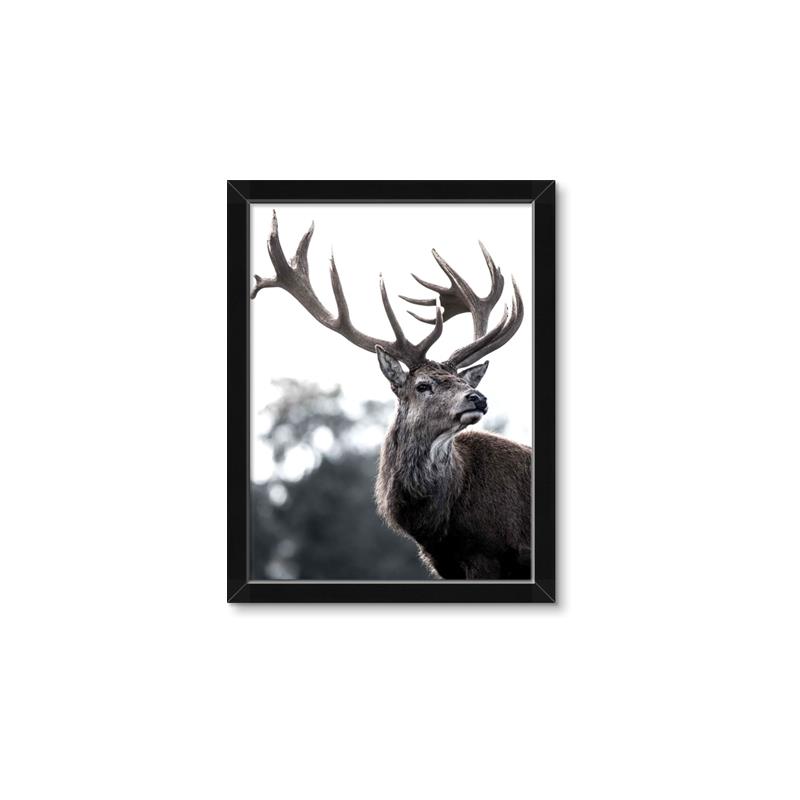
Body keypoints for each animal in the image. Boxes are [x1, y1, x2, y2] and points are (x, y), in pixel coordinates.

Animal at [252, 212, 531, 580]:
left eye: (460, 379)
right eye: (423, 385)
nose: (478, 398)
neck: (440, 526)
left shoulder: (488, 555)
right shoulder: (451, 564)